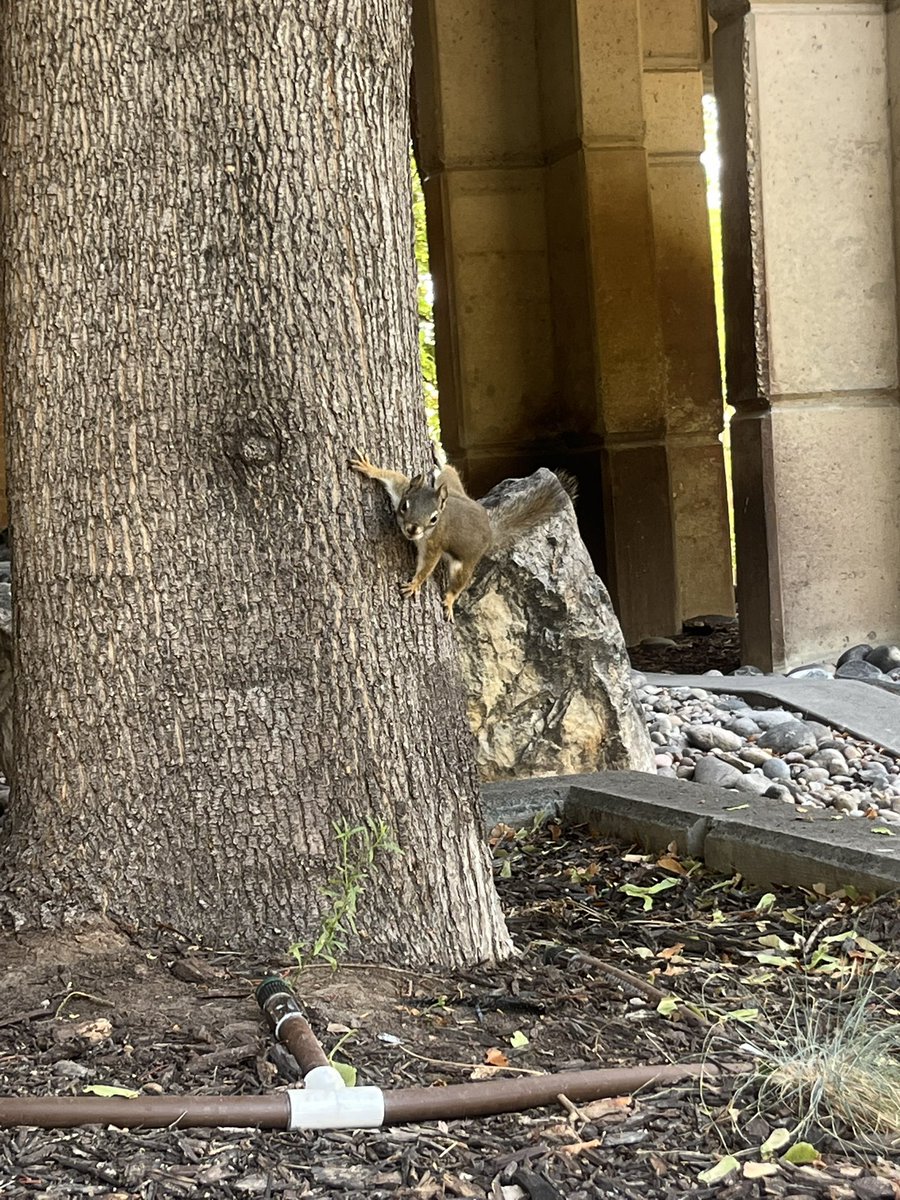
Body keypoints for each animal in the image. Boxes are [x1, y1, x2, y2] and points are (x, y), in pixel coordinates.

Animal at [350, 448, 572, 622]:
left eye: (434, 519)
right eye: (405, 506)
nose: (413, 530)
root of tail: (489, 530)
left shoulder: (435, 544)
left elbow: (427, 566)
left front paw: (414, 584)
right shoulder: (403, 487)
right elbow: (391, 476)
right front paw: (368, 467)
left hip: (466, 563)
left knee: (459, 583)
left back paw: (449, 600)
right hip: (451, 485)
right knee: (448, 471)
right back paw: (438, 455)